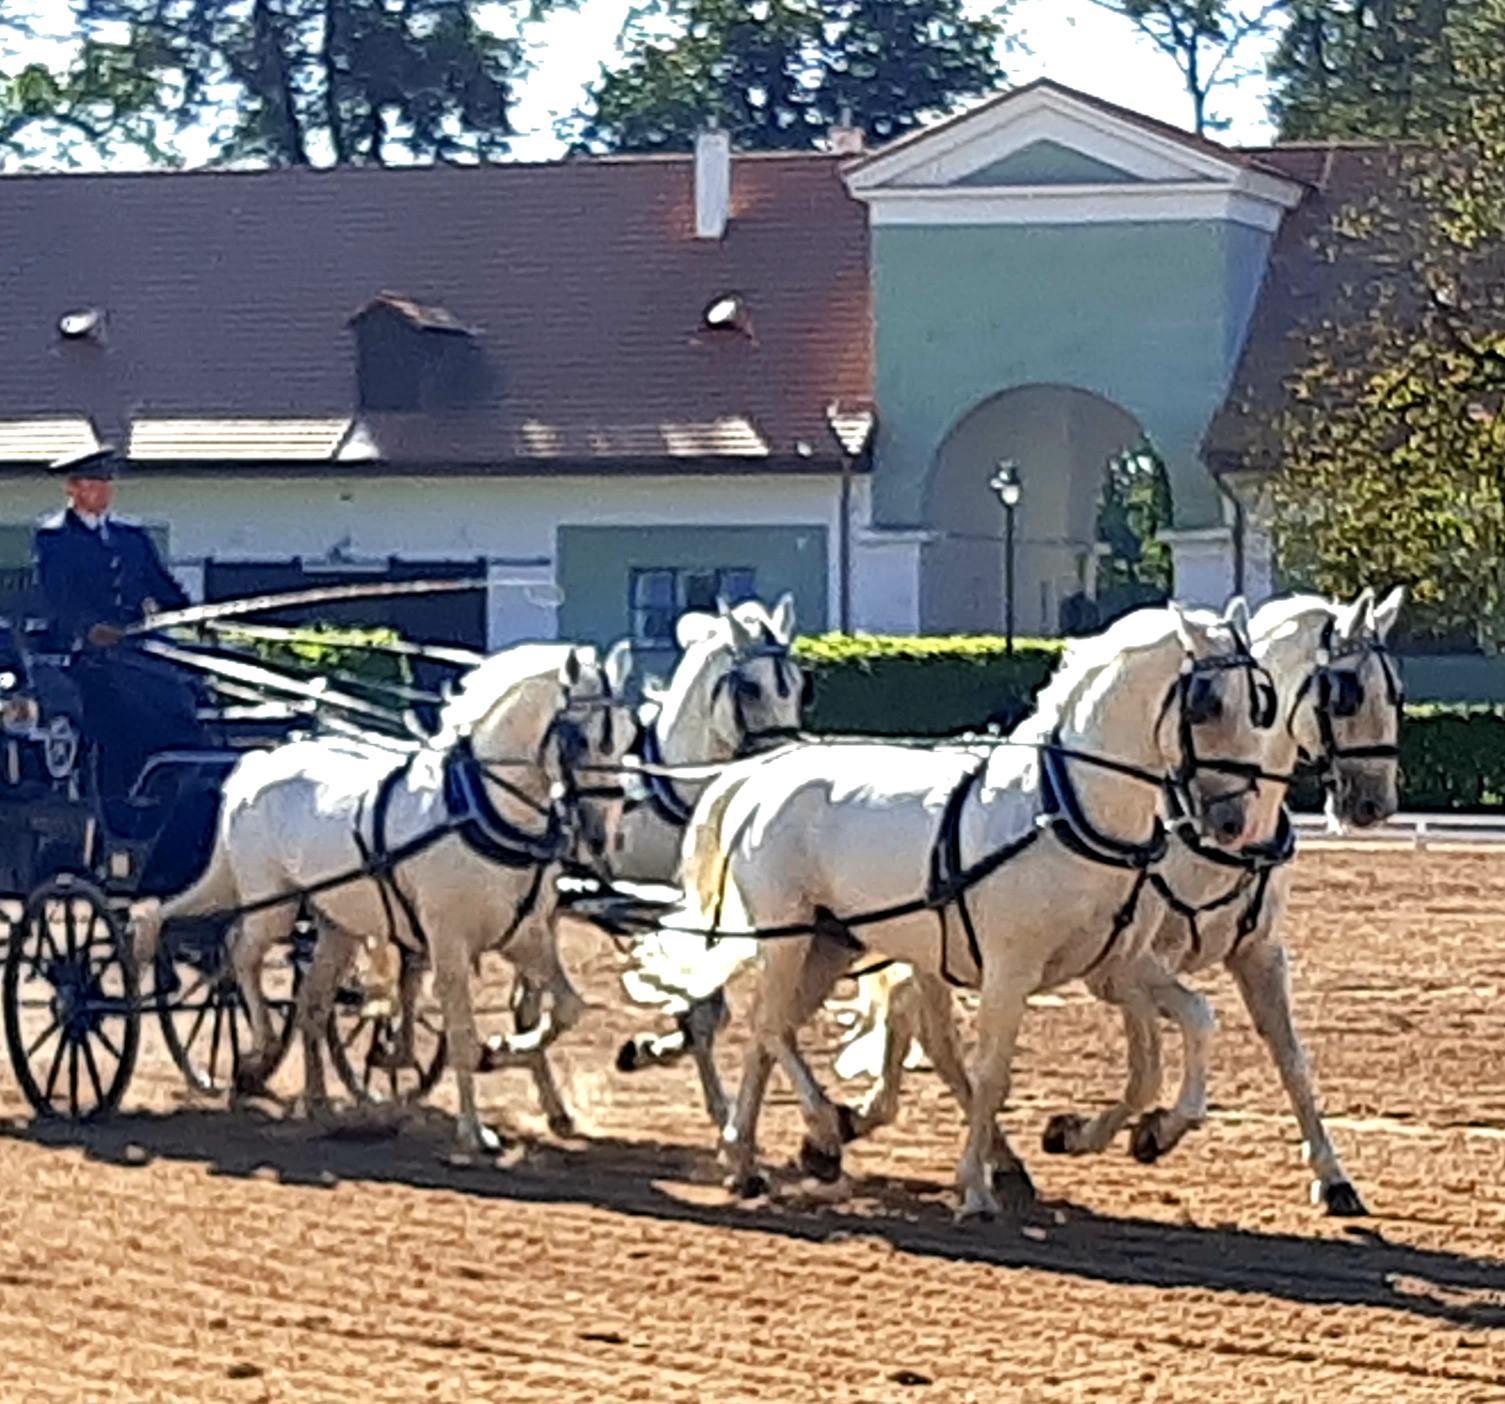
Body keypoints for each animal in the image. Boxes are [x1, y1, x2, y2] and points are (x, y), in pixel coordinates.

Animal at [133, 640, 635, 1154]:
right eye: (580, 739)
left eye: (628, 735)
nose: (603, 832)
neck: (480, 811)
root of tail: (257, 765)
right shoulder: (448, 942)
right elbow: (461, 1034)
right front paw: (474, 1130)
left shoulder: (525, 935)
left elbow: (568, 1008)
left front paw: (506, 1053)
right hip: (272, 904)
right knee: (238, 955)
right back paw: (260, 1047)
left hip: (337, 927)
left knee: (311, 1005)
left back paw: (317, 1101)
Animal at [648, 599, 1284, 1218]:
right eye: (1207, 704)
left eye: (1259, 706)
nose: (1233, 821)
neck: (1067, 812)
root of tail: (760, 774)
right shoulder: (1010, 972)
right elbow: (992, 1075)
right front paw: (975, 1188)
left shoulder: (1116, 967)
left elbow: (1188, 1028)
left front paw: (1141, 1130)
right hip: (788, 936)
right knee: (770, 1025)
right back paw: (821, 1128)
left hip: (831, 945)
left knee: (773, 1031)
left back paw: (746, 1156)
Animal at [833, 588, 1404, 1216]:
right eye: (1347, 693)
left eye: (1395, 692)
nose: (1375, 804)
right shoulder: (1125, 968)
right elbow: (1159, 1054)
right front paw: (1122, 1131)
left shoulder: (1257, 955)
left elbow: (1291, 1060)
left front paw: (1333, 1176)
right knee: (925, 1025)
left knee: (921, 1023)